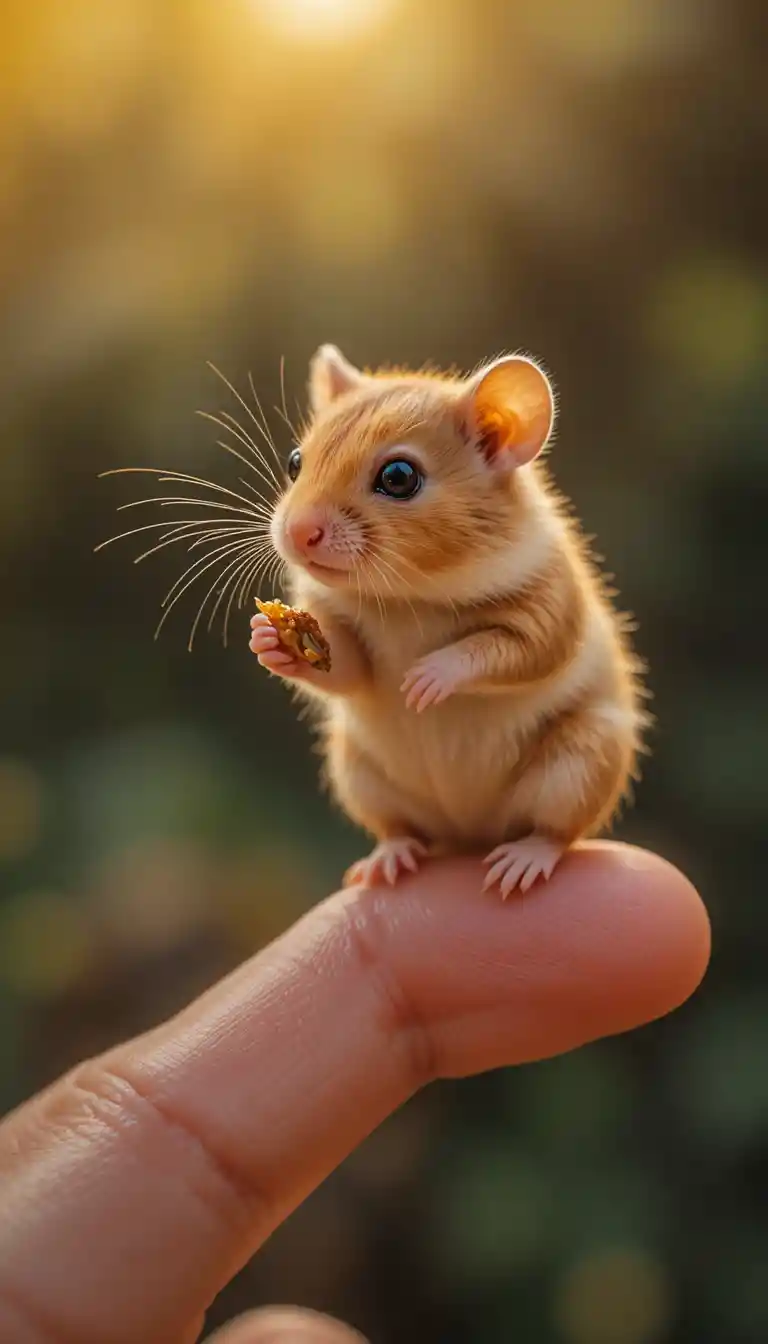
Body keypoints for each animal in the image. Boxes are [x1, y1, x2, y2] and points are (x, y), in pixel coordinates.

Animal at [250, 344, 647, 896]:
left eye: (398, 477)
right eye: (295, 461)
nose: (297, 532)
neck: (405, 597)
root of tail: (468, 834)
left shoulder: (550, 602)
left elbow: (523, 649)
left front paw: (429, 676)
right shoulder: (340, 628)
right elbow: (347, 667)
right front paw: (269, 639)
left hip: (581, 762)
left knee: (555, 830)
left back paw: (525, 859)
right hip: (359, 772)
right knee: (401, 827)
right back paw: (389, 856)